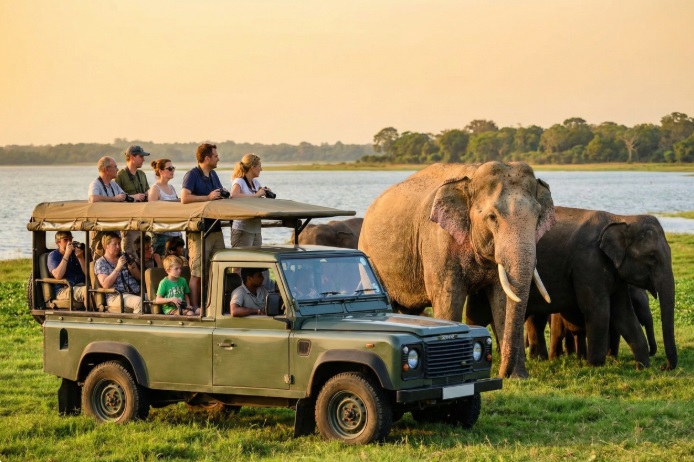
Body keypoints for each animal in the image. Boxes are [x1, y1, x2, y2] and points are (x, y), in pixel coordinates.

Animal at [359, 162, 555, 378]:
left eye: (538, 216)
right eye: (492, 217)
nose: (501, 374)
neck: (472, 175)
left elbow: (504, 300)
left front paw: (519, 378)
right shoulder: (438, 242)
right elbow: (449, 297)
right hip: (369, 258)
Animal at [466, 206, 677, 371]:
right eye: (652, 257)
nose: (664, 367)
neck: (619, 218)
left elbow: (624, 314)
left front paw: (642, 367)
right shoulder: (588, 263)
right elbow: (598, 311)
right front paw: (595, 366)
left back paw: (537, 358)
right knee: (480, 315)